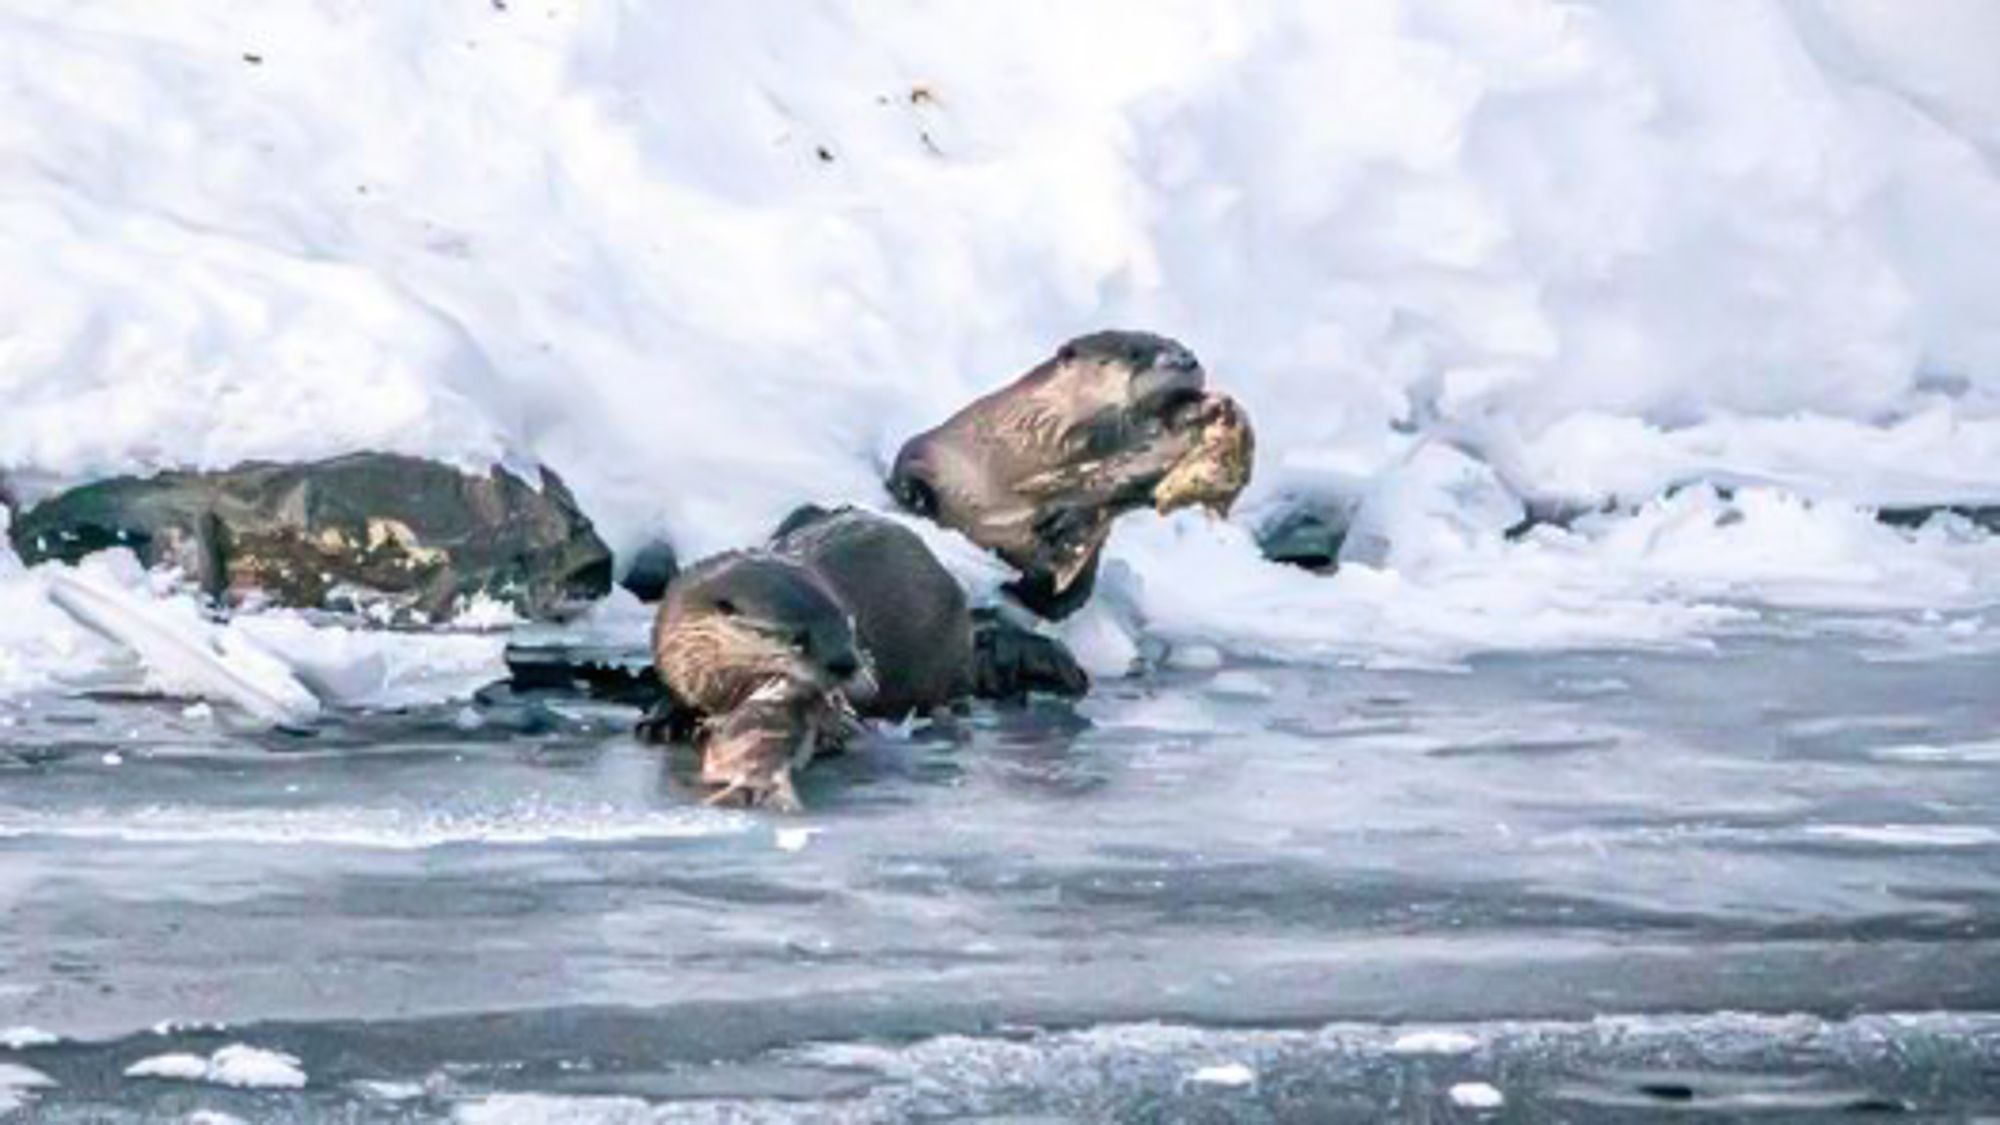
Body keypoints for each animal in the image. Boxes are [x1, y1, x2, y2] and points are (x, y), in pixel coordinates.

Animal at [892, 328, 1248, 616]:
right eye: (1134, 352)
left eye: (1181, 345)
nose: (1187, 359)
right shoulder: (936, 448)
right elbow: (908, 466)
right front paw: (915, 496)